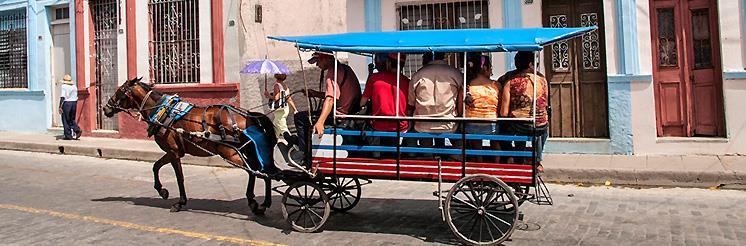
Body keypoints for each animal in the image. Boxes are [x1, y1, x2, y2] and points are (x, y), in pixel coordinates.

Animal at [99, 78, 274, 214]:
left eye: (120, 90)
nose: (106, 107)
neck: (162, 111)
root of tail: (248, 115)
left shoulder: (174, 152)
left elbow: (179, 177)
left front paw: (179, 202)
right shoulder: (172, 151)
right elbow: (155, 166)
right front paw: (162, 191)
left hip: (229, 152)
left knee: (255, 171)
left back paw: (256, 203)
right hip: (246, 150)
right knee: (264, 171)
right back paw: (262, 203)